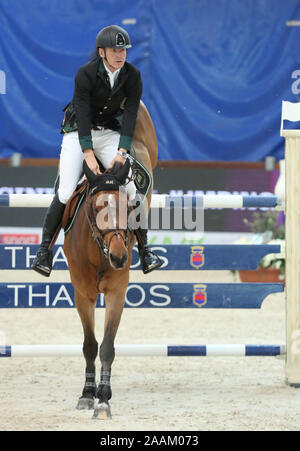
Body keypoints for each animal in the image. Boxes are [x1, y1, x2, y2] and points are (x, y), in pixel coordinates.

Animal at [63, 100, 157, 420]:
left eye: (128, 206)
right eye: (95, 206)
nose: (119, 256)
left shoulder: (117, 292)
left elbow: (107, 347)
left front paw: (103, 399)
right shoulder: (83, 294)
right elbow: (90, 345)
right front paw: (87, 394)